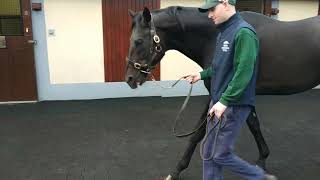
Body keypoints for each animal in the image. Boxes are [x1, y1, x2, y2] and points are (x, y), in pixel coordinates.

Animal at [124, 6, 320, 179]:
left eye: (138, 41)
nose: (130, 79)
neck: (213, 37)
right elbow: (254, 125)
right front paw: (262, 160)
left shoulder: (221, 94)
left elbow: (197, 134)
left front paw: (177, 170)